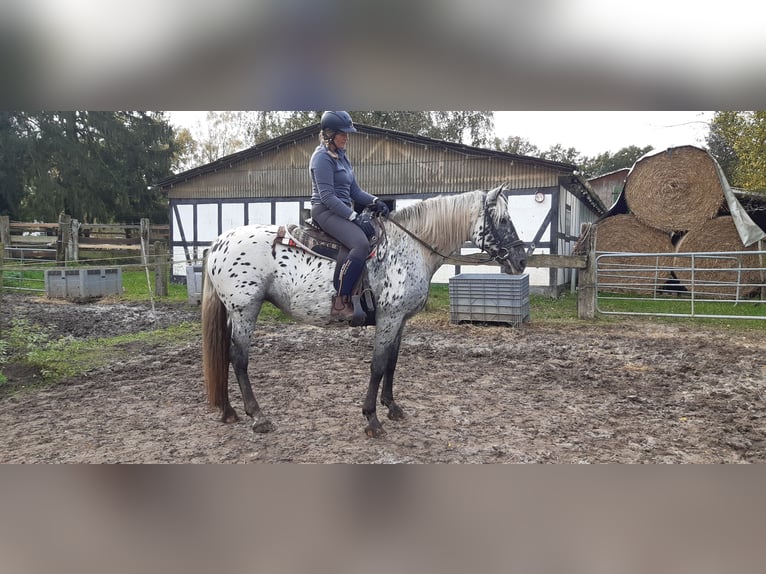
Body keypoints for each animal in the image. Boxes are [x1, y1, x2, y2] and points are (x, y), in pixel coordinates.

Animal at [201, 183, 532, 436]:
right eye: (503, 219)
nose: (521, 260)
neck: (410, 246)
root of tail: (219, 242)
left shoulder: (400, 320)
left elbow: (392, 363)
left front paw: (392, 407)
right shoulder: (389, 318)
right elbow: (377, 365)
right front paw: (372, 419)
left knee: (225, 355)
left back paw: (229, 411)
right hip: (245, 310)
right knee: (238, 358)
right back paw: (257, 416)